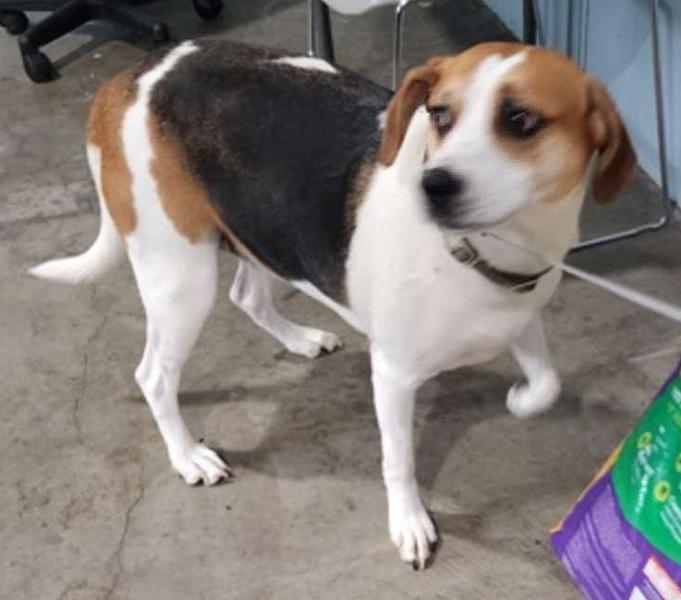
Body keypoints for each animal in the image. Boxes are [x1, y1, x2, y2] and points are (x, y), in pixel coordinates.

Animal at [29, 39, 635, 569]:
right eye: (439, 115)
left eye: (521, 121)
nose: (432, 186)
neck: (483, 253)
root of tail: (130, 79)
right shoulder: (393, 375)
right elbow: (399, 460)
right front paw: (409, 523)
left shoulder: (522, 317)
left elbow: (548, 382)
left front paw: (520, 401)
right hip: (180, 278)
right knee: (154, 375)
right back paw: (187, 457)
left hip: (259, 229)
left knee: (246, 296)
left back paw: (301, 339)